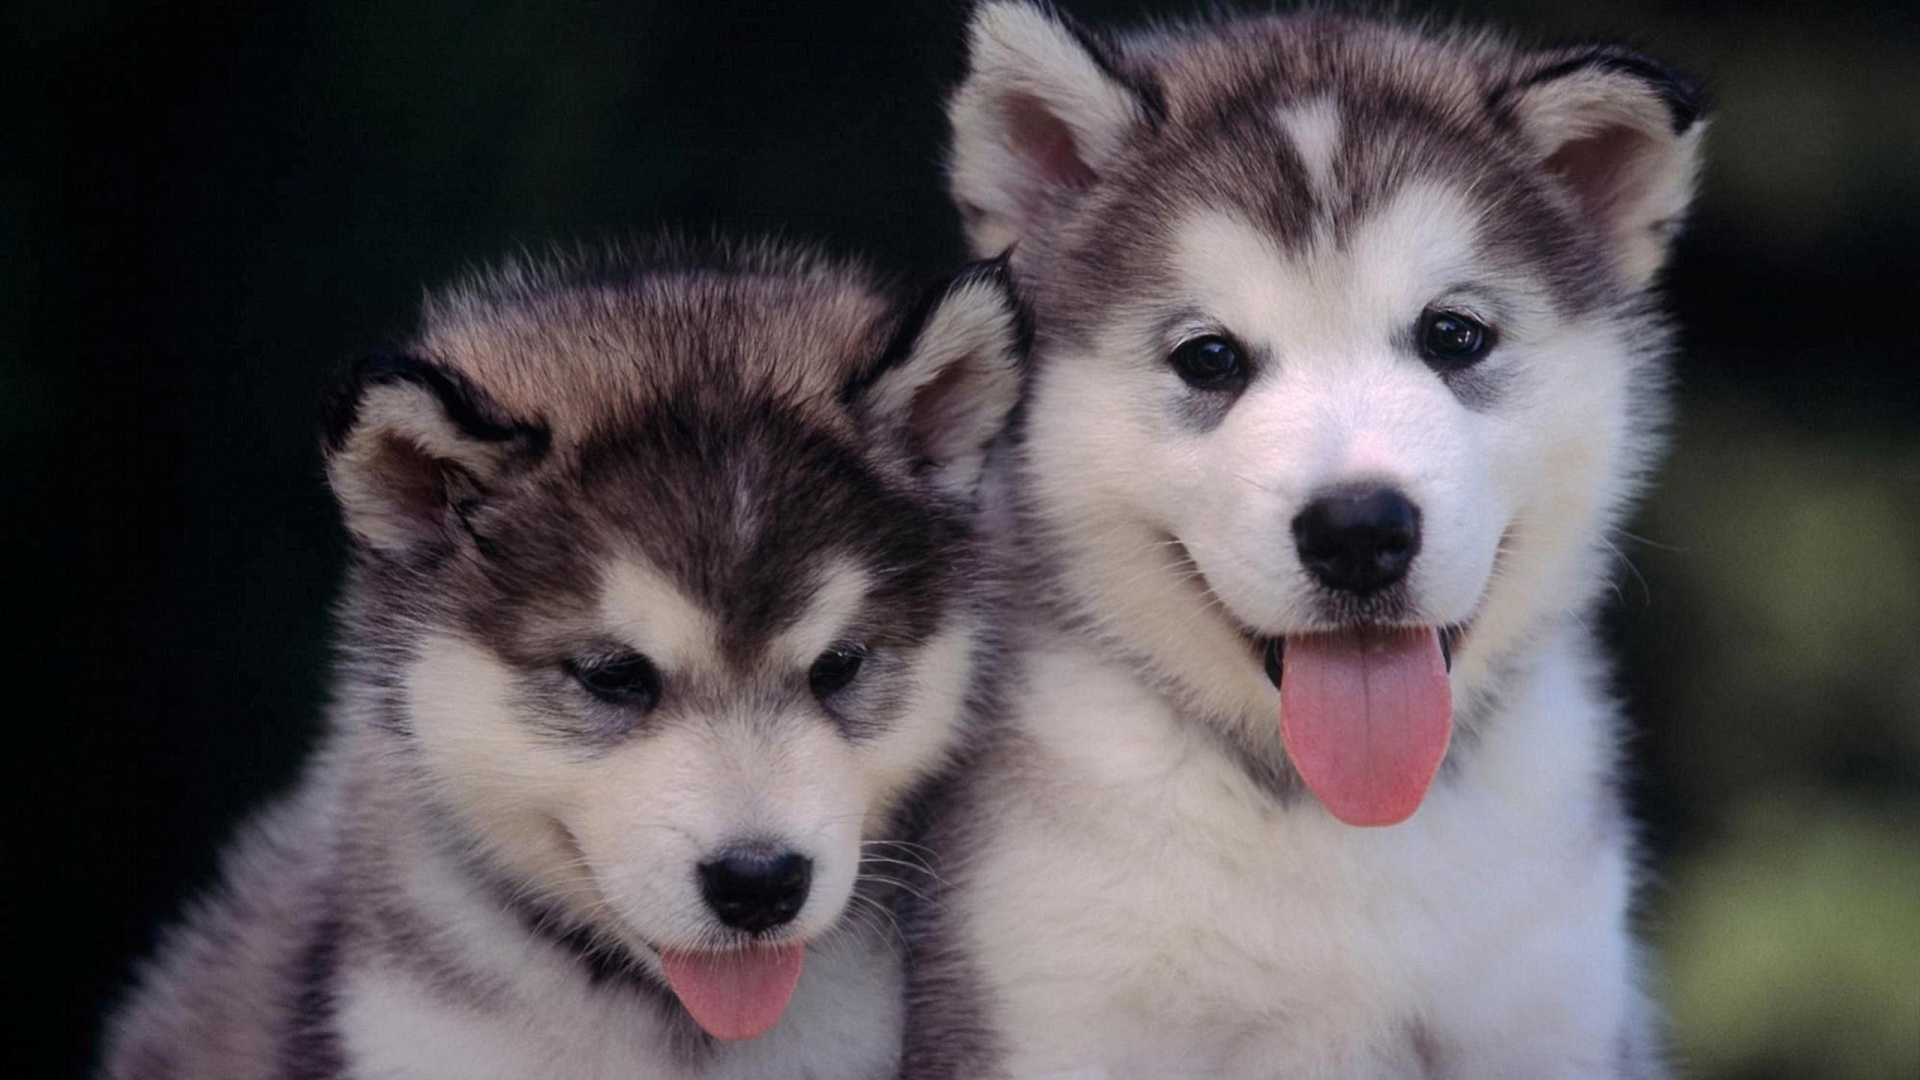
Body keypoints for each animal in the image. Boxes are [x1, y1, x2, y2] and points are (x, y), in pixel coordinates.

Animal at [906, 4, 1704, 1068]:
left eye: (1454, 335)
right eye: (1209, 357)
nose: (1359, 531)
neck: (1337, 819)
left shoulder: (1552, 1006)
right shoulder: (1043, 1001)